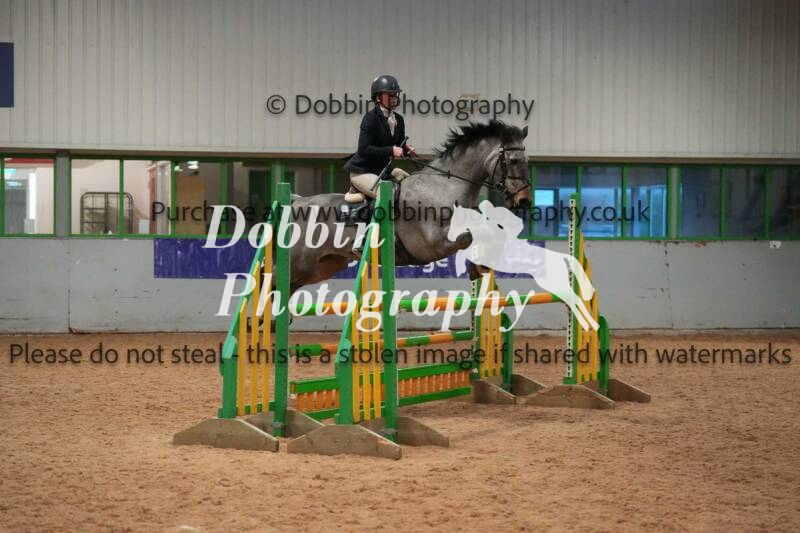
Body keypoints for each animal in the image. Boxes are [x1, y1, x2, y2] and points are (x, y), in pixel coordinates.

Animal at [286, 120, 531, 292]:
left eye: (526, 162)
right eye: (513, 161)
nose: (524, 200)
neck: (445, 187)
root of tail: (297, 202)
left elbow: (491, 231)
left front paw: (480, 267)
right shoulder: (436, 243)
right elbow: (479, 233)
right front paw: (478, 266)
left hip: (322, 266)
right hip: (299, 263)